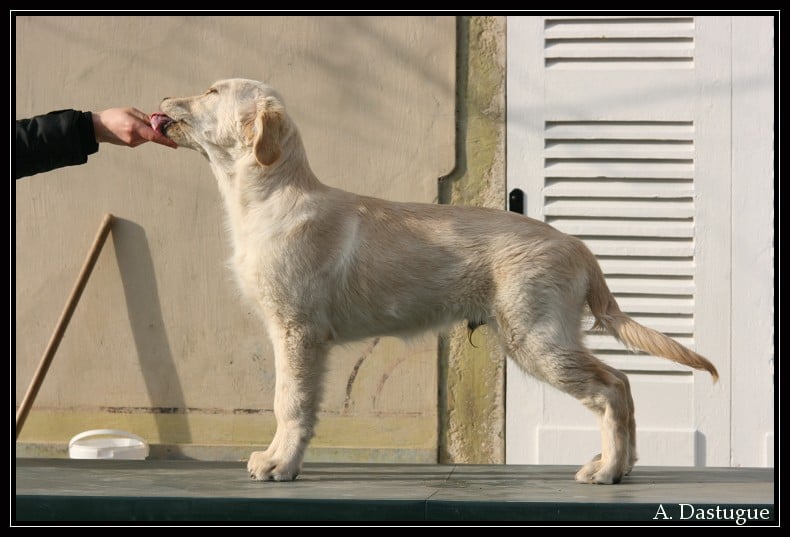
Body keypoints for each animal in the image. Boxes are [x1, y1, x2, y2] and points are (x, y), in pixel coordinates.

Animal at [153, 78, 718, 485]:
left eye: (212, 92)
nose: (159, 98)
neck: (270, 195)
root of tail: (578, 245)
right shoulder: (293, 334)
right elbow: (285, 399)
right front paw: (273, 457)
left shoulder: (299, 331)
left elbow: (290, 402)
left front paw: (281, 465)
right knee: (622, 384)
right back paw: (619, 465)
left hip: (536, 337)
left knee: (613, 387)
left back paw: (608, 470)